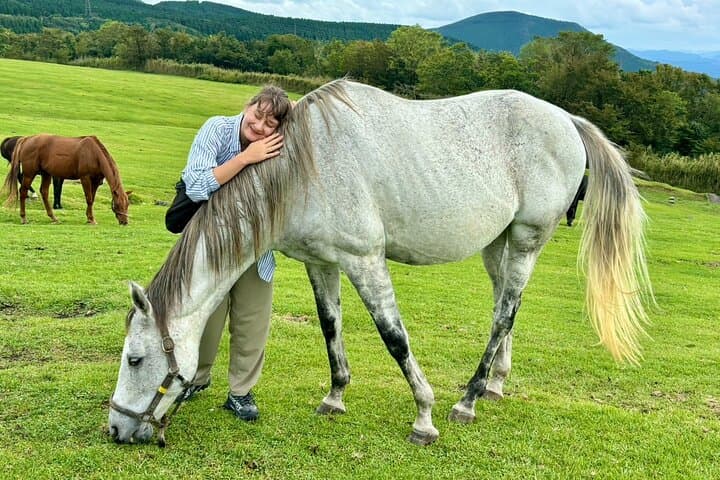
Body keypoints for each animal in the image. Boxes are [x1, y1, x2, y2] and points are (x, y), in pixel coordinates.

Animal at [109, 79, 652, 446]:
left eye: (135, 359)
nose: (115, 428)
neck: (305, 169)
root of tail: (566, 121)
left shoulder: (365, 261)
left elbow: (394, 338)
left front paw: (424, 417)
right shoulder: (320, 264)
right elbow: (330, 327)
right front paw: (335, 397)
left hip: (524, 241)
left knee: (504, 314)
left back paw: (467, 400)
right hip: (497, 246)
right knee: (505, 305)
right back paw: (494, 385)